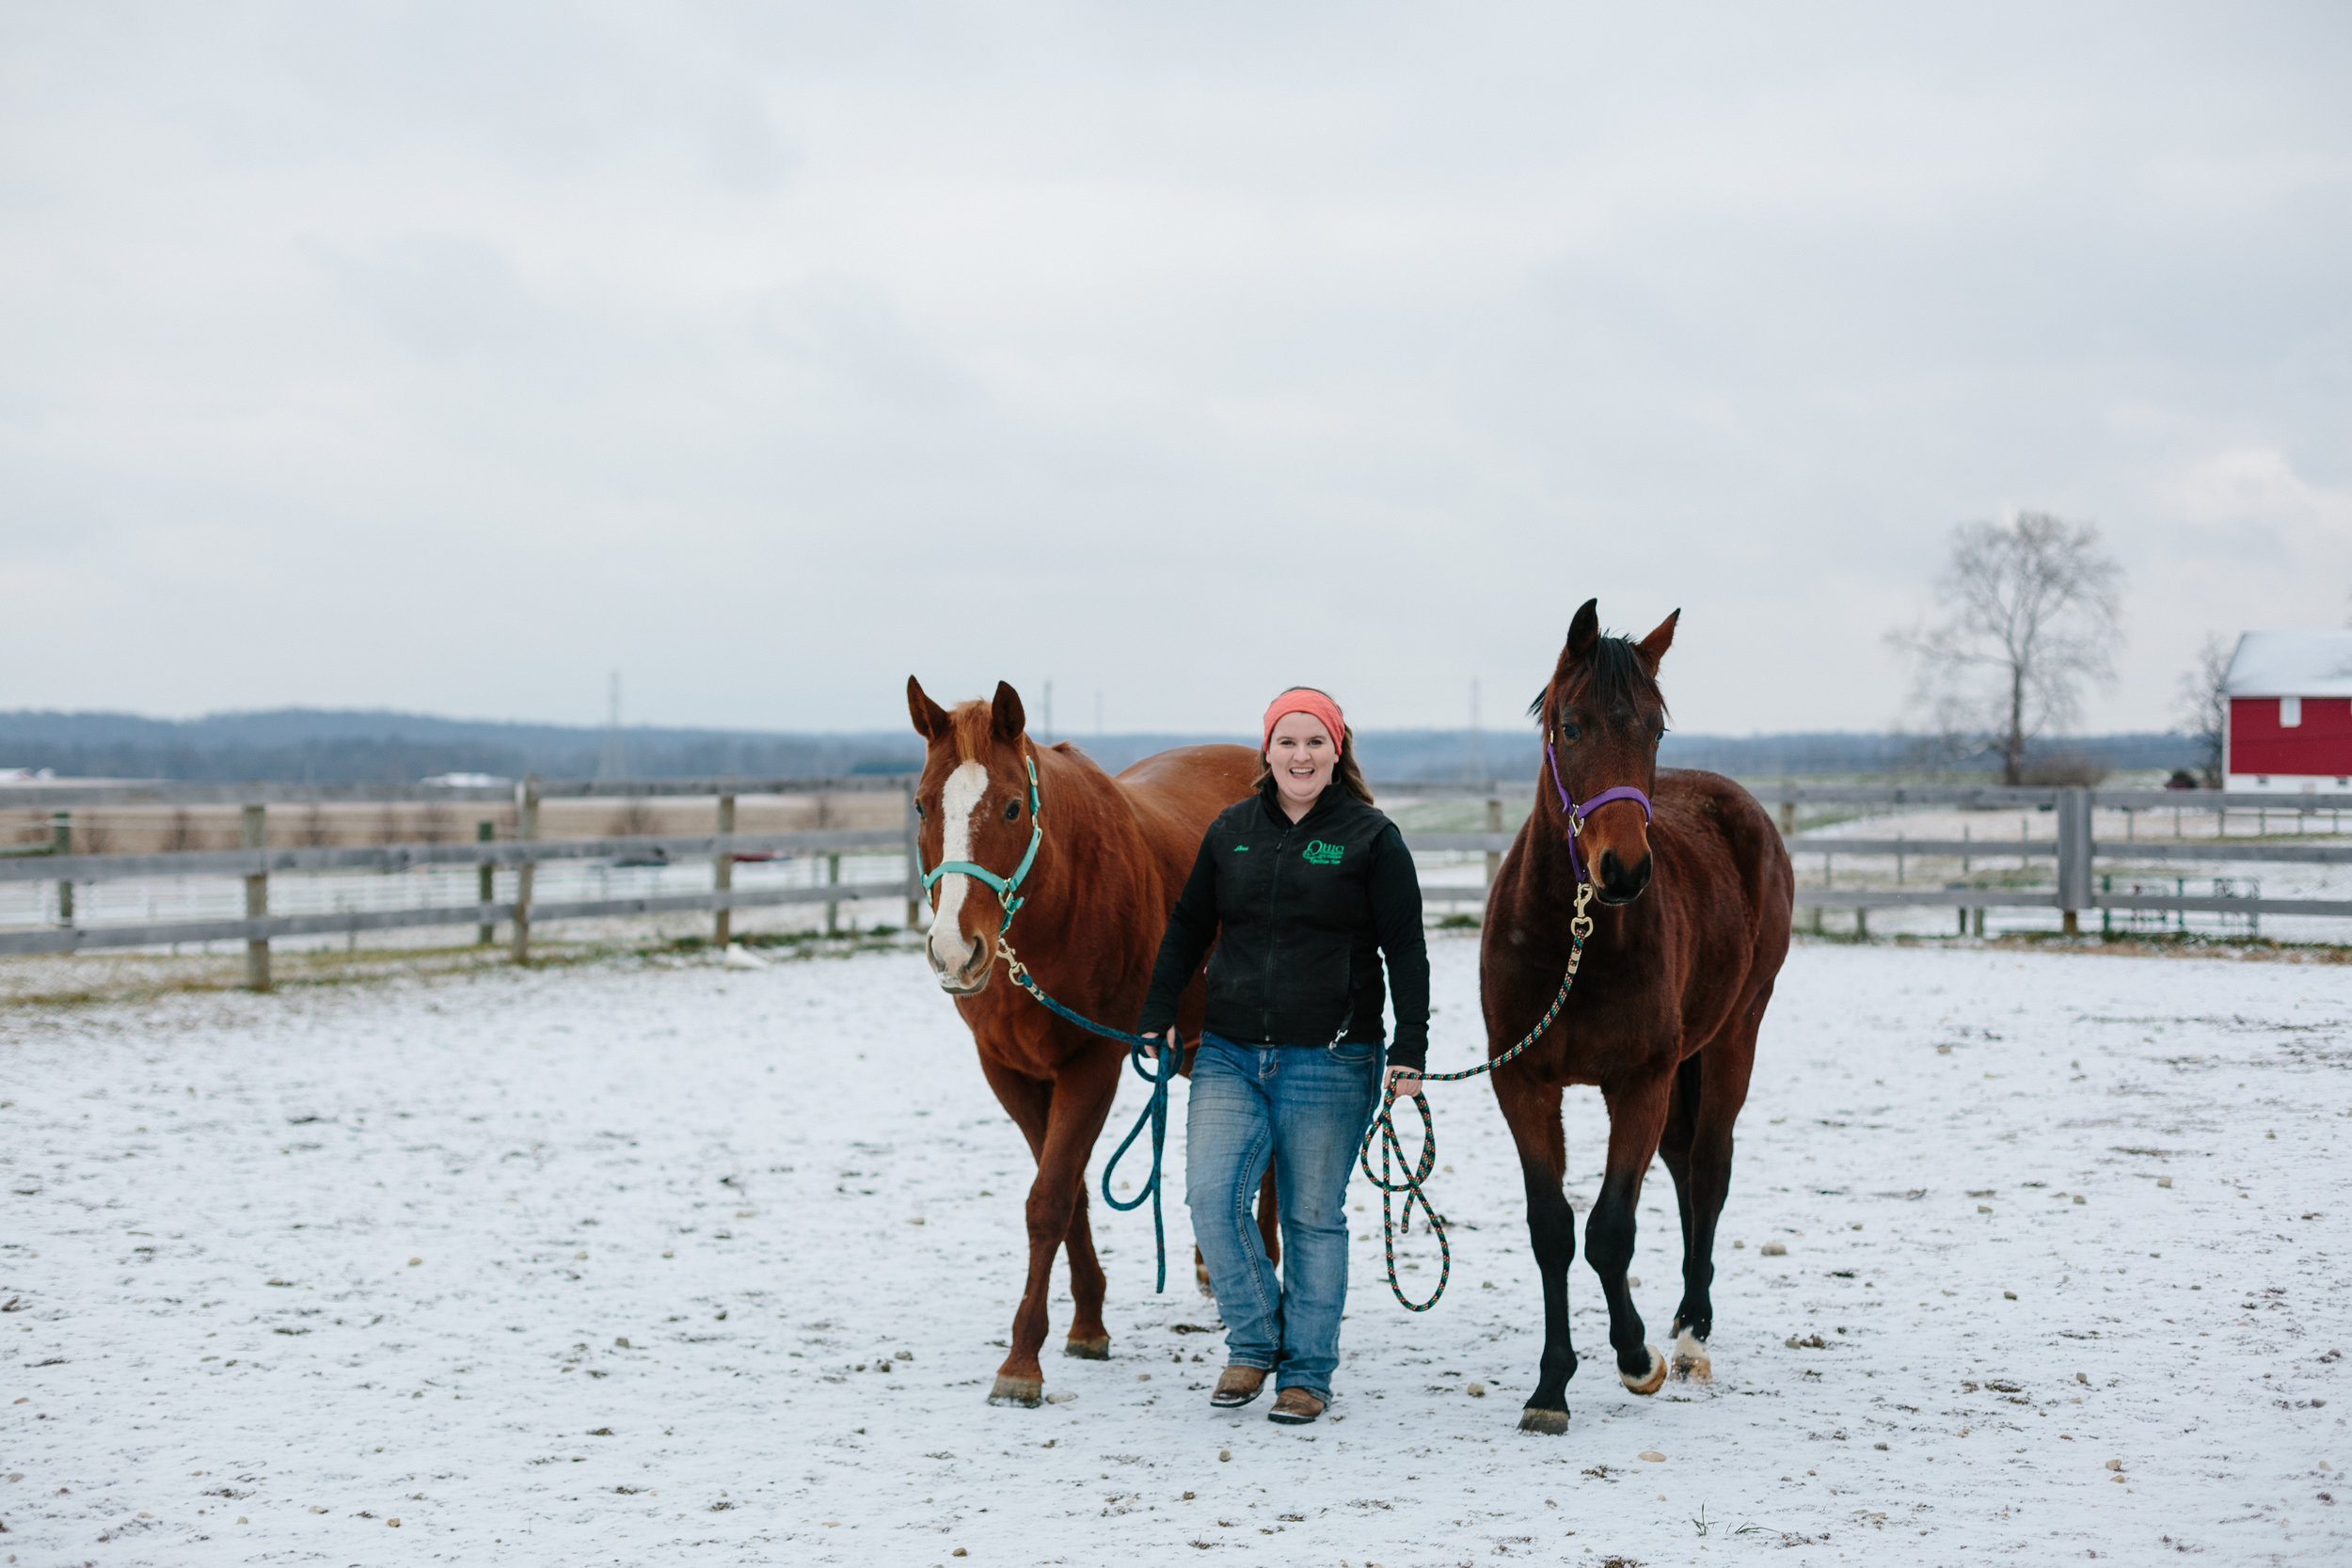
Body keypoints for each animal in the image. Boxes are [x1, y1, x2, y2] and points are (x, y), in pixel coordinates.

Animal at [898, 676, 1270, 1410]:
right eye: (923, 804)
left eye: (1013, 807)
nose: (956, 953)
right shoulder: (1009, 1072)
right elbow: (1067, 1194)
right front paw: (1087, 1323)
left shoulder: (1094, 1062)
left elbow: (1049, 1198)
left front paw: (1022, 1361)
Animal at [1486, 601, 1797, 1438]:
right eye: (1571, 725)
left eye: (1655, 730)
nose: (1622, 870)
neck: (1575, 937)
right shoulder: (1524, 1084)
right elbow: (1553, 1229)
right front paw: (1549, 1386)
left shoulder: (1640, 1082)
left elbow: (1608, 1229)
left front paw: (1635, 1356)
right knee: (1686, 1165)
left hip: (1734, 1036)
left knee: (1710, 1168)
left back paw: (1690, 1337)